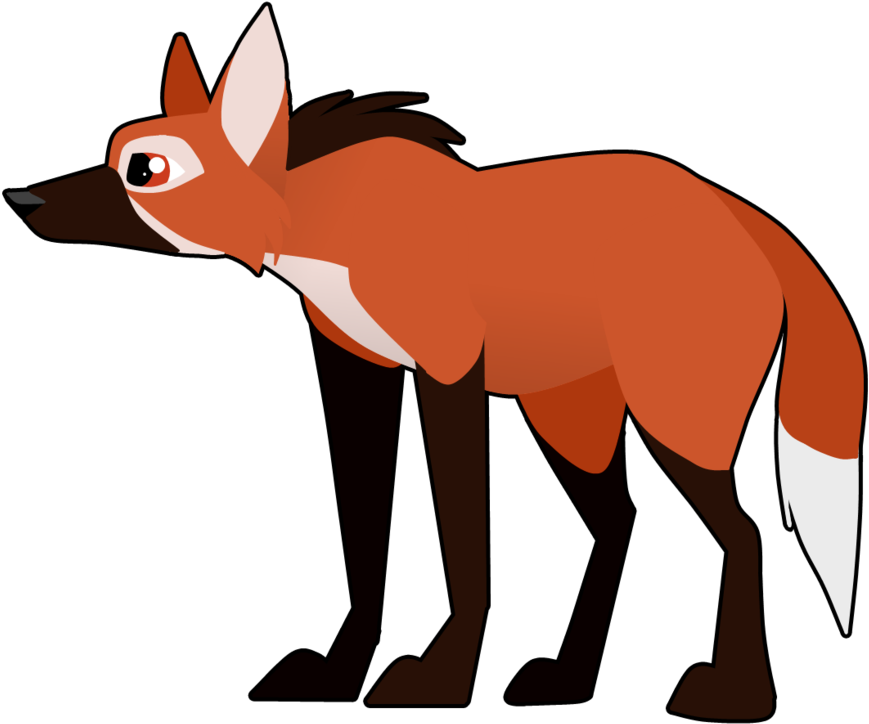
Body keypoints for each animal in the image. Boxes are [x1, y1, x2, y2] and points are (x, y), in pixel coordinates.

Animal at [8, 6, 861, 717]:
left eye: (145, 170)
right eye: (114, 152)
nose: (25, 201)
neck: (323, 224)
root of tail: (741, 215)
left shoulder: (448, 372)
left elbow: (464, 549)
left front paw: (443, 676)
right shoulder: (357, 373)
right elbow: (368, 546)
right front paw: (342, 673)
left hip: (674, 422)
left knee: (745, 534)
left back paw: (737, 694)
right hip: (565, 420)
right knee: (620, 522)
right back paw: (567, 680)